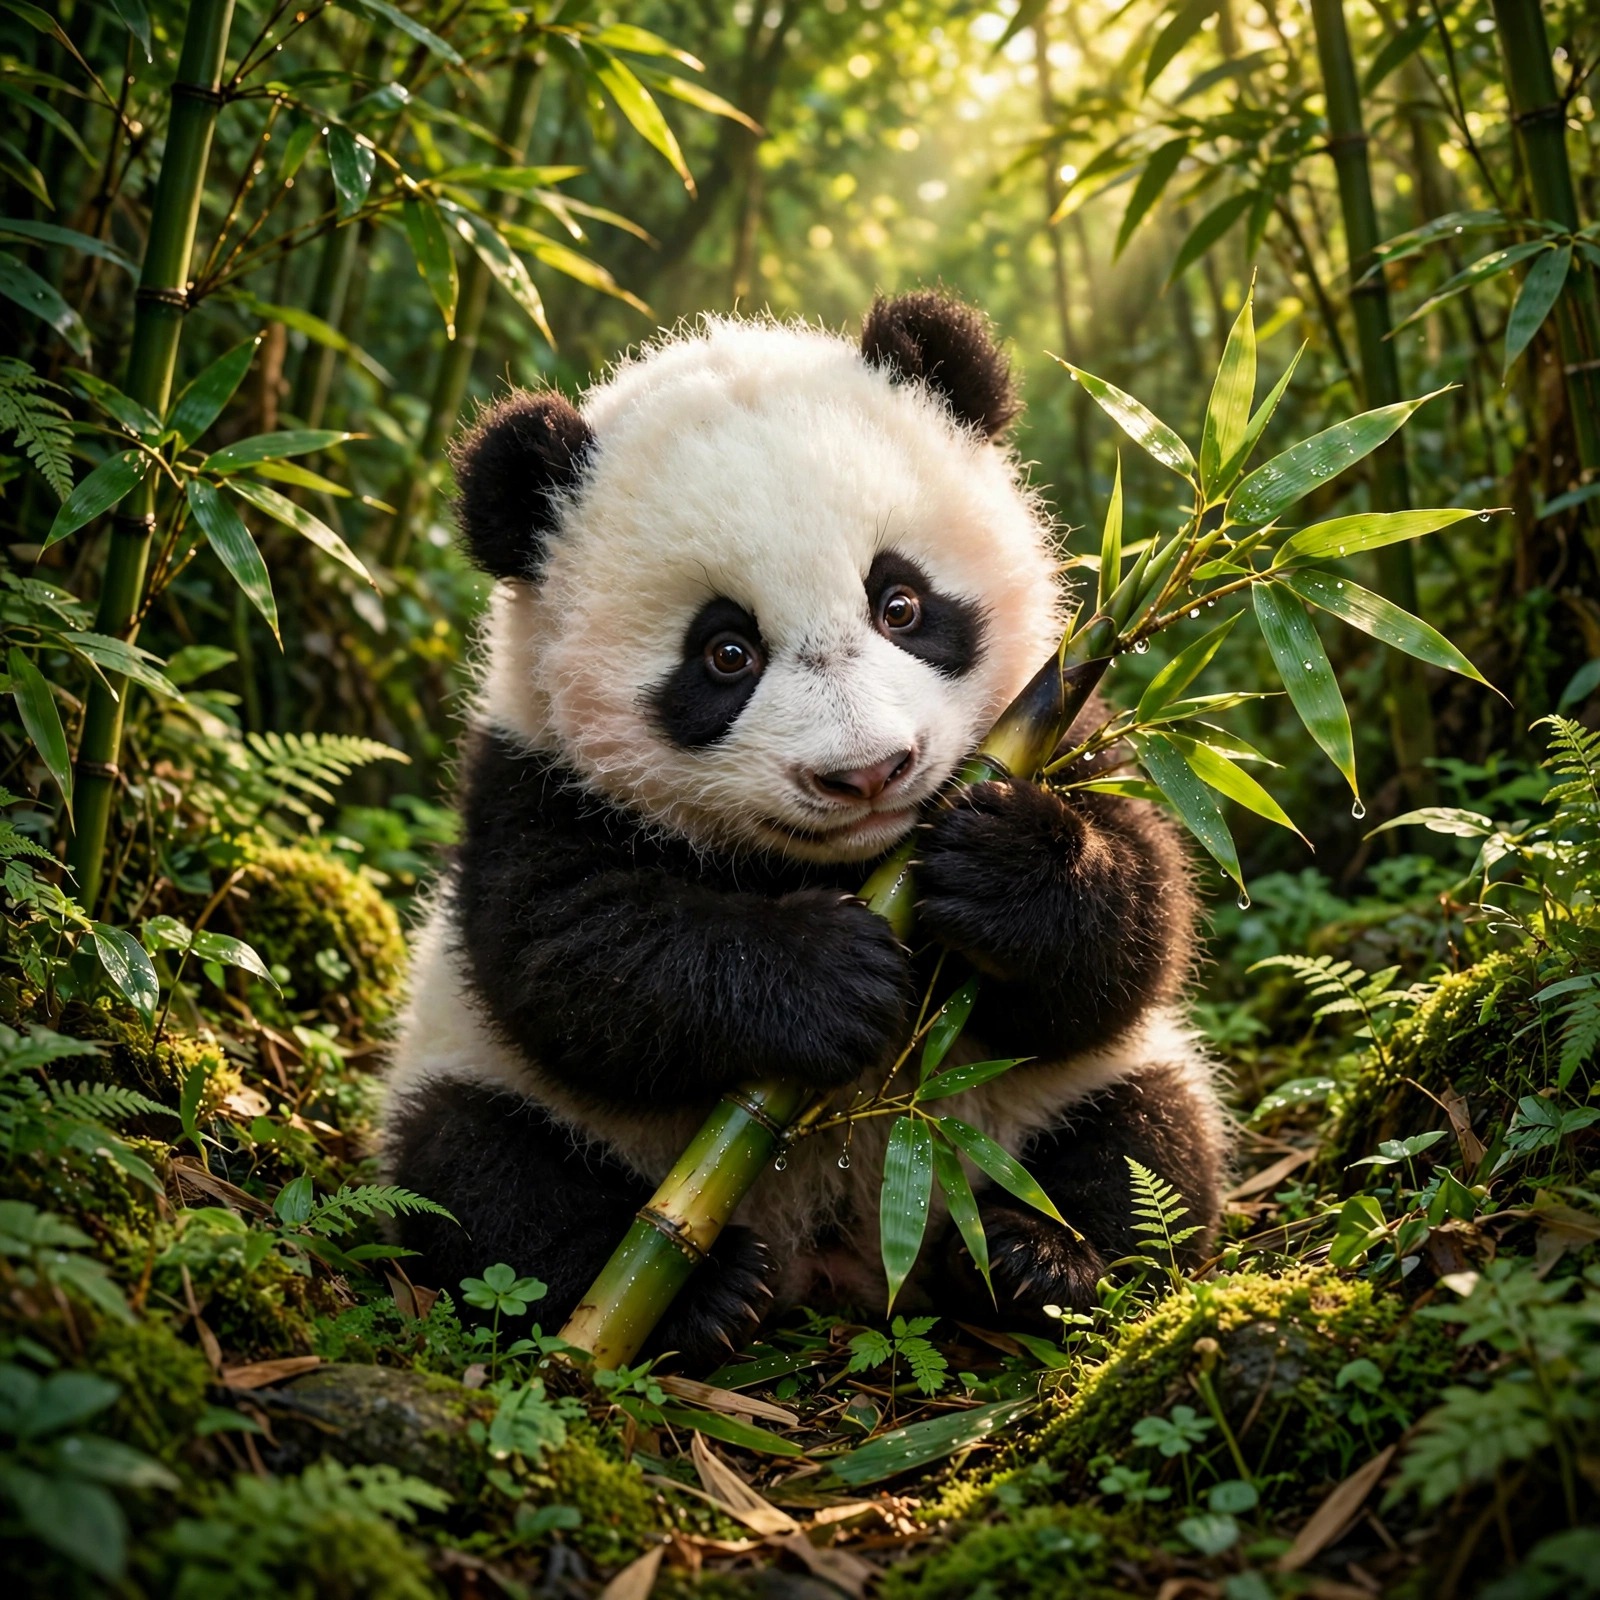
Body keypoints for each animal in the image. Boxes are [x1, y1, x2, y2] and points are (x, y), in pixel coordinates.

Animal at [382, 291, 1226, 1366]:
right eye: (725, 653)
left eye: (899, 602)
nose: (867, 773)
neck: (855, 861)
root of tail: (845, 1254)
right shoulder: (533, 779)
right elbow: (567, 959)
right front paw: (829, 973)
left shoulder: (1058, 721)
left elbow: (1137, 926)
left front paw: (1002, 871)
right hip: (494, 1092)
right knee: (478, 1171)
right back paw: (700, 1293)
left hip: (1041, 1106)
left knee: (1147, 1145)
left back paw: (1040, 1259)